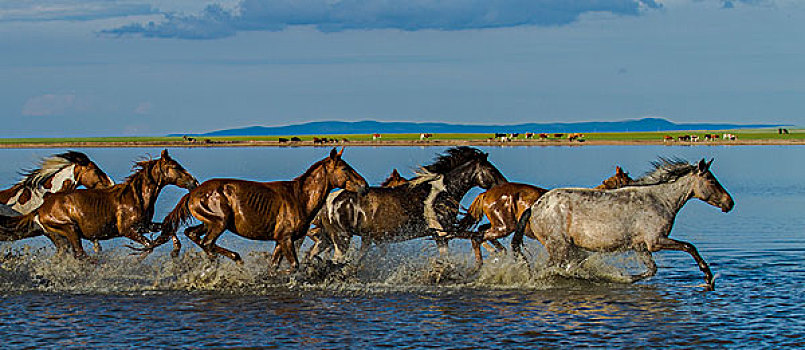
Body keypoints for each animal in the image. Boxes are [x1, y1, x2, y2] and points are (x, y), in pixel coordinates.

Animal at [3, 148, 198, 258]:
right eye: (175, 167)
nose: (194, 182)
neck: (137, 196)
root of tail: (40, 209)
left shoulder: (144, 225)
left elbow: (168, 231)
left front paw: (175, 251)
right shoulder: (127, 230)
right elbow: (150, 245)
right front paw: (138, 255)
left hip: (61, 236)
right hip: (69, 230)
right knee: (80, 254)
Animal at [155, 148, 368, 270]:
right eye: (345, 168)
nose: (364, 185)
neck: (299, 197)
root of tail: (192, 193)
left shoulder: (280, 240)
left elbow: (273, 267)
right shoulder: (286, 238)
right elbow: (294, 265)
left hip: (209, 222)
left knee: (192, 234)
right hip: (219, 222)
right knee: (207, 242)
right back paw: (233, 259)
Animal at [310, 147, 506, 266]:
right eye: (492, 170)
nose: (505, 185)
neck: (442, 193)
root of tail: (327, 202)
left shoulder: (440, 236)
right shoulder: (444, 232)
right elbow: (476, 236)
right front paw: (498, 253)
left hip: (327, 238)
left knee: (311, 255)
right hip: (341, 239)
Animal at [458, 165, 636, 266]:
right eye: (629, 180)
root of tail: (486, 193)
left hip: (501, 225)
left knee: (481, 230)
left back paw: (499, 252)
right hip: (504, 226)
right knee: (477, 237)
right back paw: (480, 263)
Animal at [512, 159, 732, 290]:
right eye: (712, 181)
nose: (730, 203)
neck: (660, 200)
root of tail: (535, 207)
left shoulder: (641, 246)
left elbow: (651, 270)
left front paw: (622, 278)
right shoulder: (656, 241)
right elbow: (689, 246)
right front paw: (708, 277)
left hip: (566, 249)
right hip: (559, 247)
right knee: (546, 270)